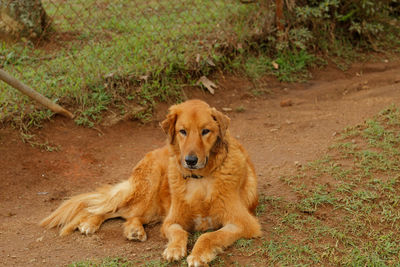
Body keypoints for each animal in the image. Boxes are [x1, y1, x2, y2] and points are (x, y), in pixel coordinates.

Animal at [39, 100, 260, 266]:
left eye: (206, 131)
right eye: (182, 131)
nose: (190, 160)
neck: (201, 179)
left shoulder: (243, 223)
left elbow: (208, 236)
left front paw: (197, 255)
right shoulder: (171, 221)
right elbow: (178, 232)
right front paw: (174, 249)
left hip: (152, 207)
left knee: (128, 215)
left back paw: (133, 230)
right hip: (147, 193)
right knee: (110, 208)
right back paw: (90, 222)